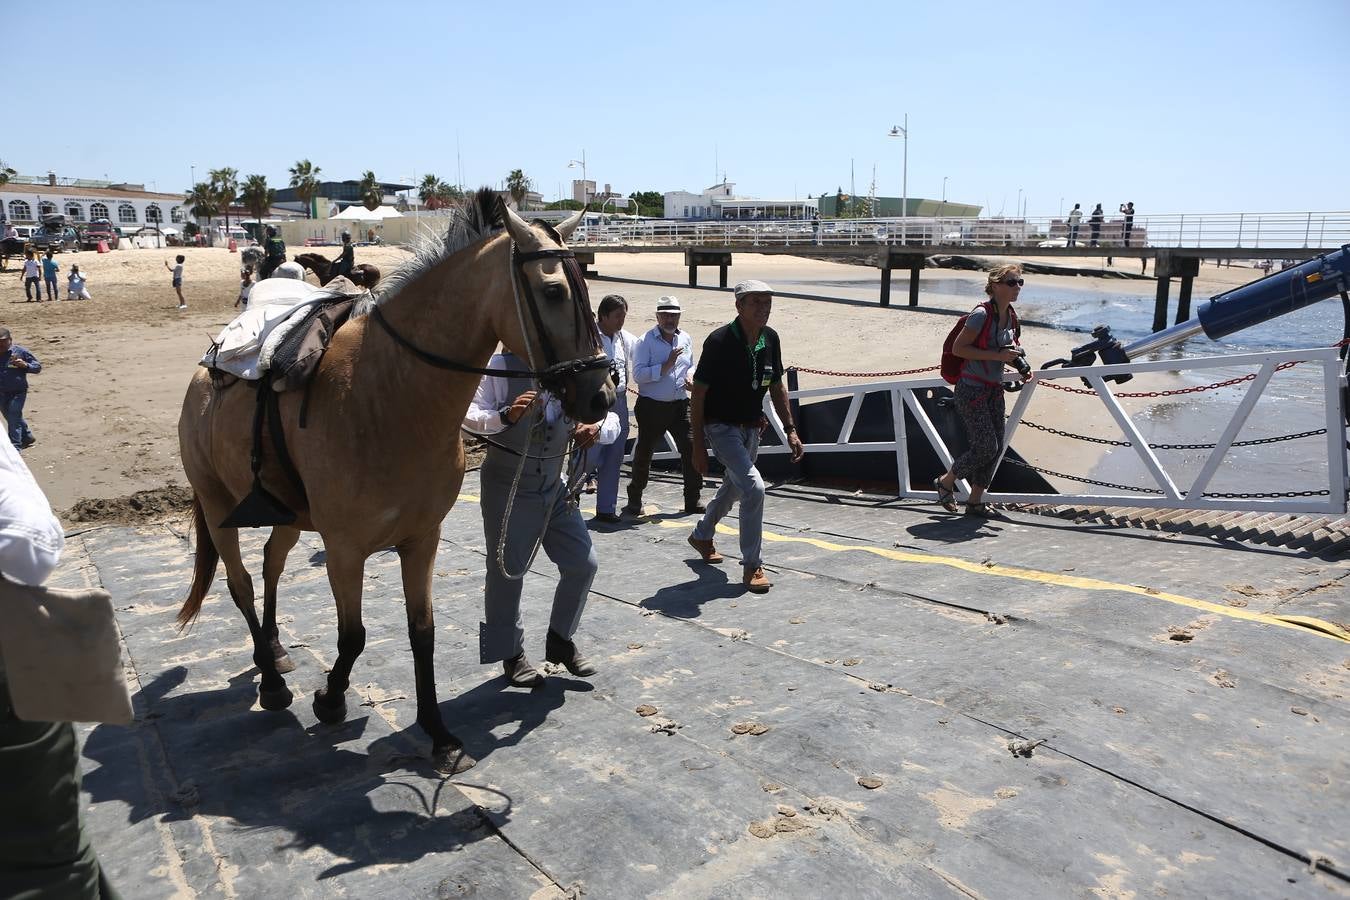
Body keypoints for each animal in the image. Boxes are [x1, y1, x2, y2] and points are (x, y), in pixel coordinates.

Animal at [174, 190, 612, 777]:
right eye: (553, 291)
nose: (600, 395)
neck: (389, 392)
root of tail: (205, 372)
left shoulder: (421, 540)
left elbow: (421, 633)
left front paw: (439, 734)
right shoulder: (344, 549)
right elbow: (353, 635)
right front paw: (330, 698)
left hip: (289, 515)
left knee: (270, 565)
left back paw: (278, 652)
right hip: (218, 503)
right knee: (241, 583)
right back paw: (270, 681)